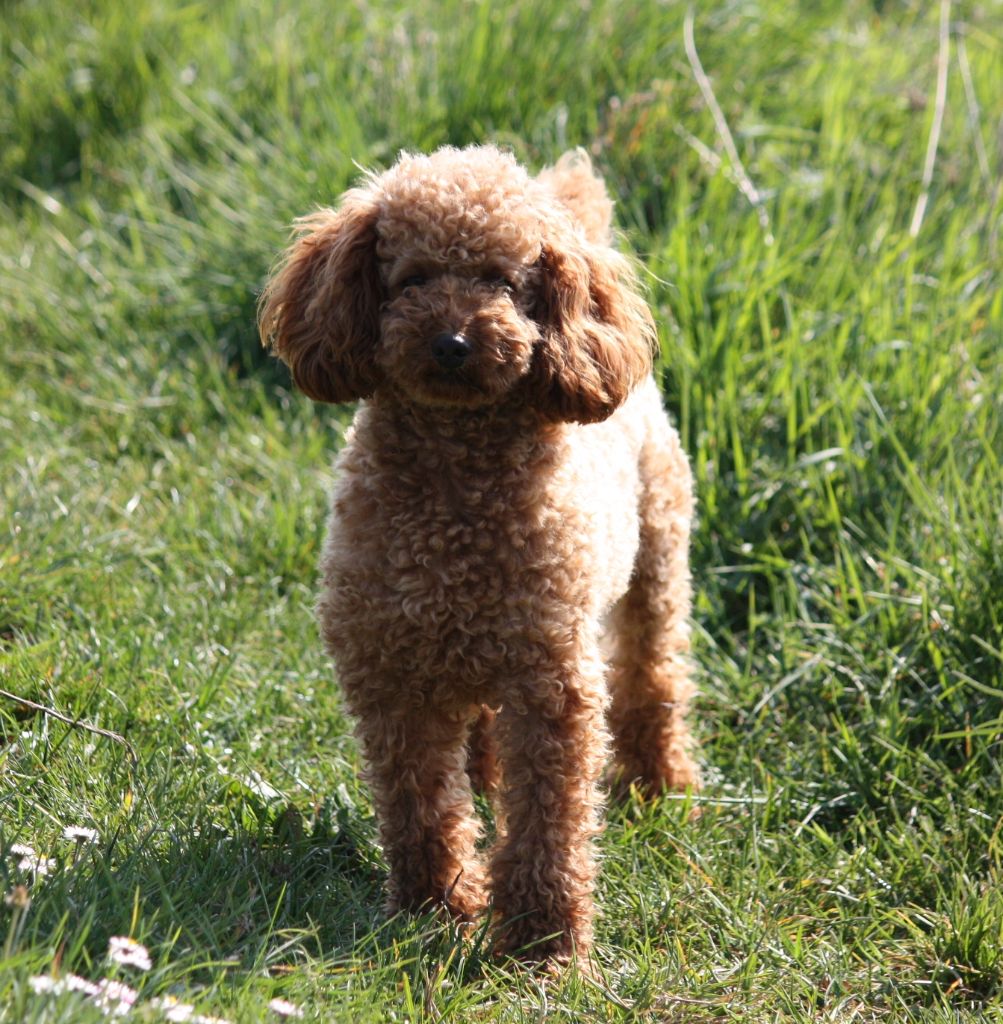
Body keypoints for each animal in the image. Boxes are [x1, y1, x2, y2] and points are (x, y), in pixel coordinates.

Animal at [259, 142, 696, 958]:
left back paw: (662, 782)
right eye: (412, 279)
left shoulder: (551, 685)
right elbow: (419, 807)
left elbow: (550, 823)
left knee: (652, 676)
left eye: (504, 282)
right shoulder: (391, 676)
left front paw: (540, 943)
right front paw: (435, 908)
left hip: (655, 560)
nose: (453, 343)